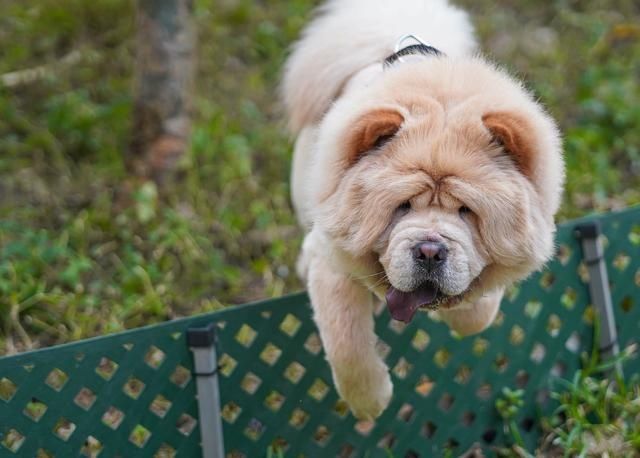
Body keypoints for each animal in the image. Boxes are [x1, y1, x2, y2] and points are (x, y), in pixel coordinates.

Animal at [282, 0, 564, 420]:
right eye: (401, 207)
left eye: (466, 211)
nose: (430, 250)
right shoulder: (332, 260)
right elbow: (347, 342)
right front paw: (371, 401)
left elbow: (477, 315)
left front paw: (462, 311)